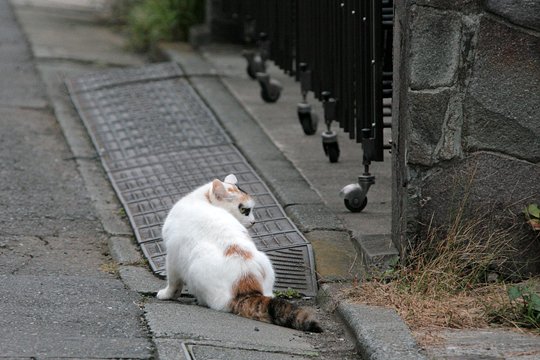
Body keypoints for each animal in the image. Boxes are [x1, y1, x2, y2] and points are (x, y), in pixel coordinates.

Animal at [155, 174, 320, 332]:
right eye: (244, 210)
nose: (253, 222)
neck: (201, 200)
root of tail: (247, 281)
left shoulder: (172, 255)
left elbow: (174, 283)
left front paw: (166, 295)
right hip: (265, 261)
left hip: (196, 264)